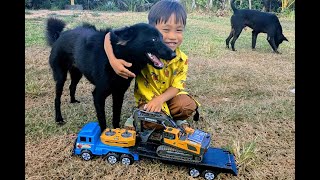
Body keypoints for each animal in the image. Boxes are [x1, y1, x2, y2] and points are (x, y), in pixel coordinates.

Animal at [45, 17, 175, 131]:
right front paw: (103, 136)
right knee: (57, 98)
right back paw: (59, 118)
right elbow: (102, 119)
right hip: (60, 76)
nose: (173, 54)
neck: (120, 55)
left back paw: (73, 101)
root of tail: (59, 36)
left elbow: (116, 115)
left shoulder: (119, 93)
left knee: (72, 86)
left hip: (77, 73)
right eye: (154, 39)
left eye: (162, 37)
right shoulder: (98, 95)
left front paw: (117, 131)